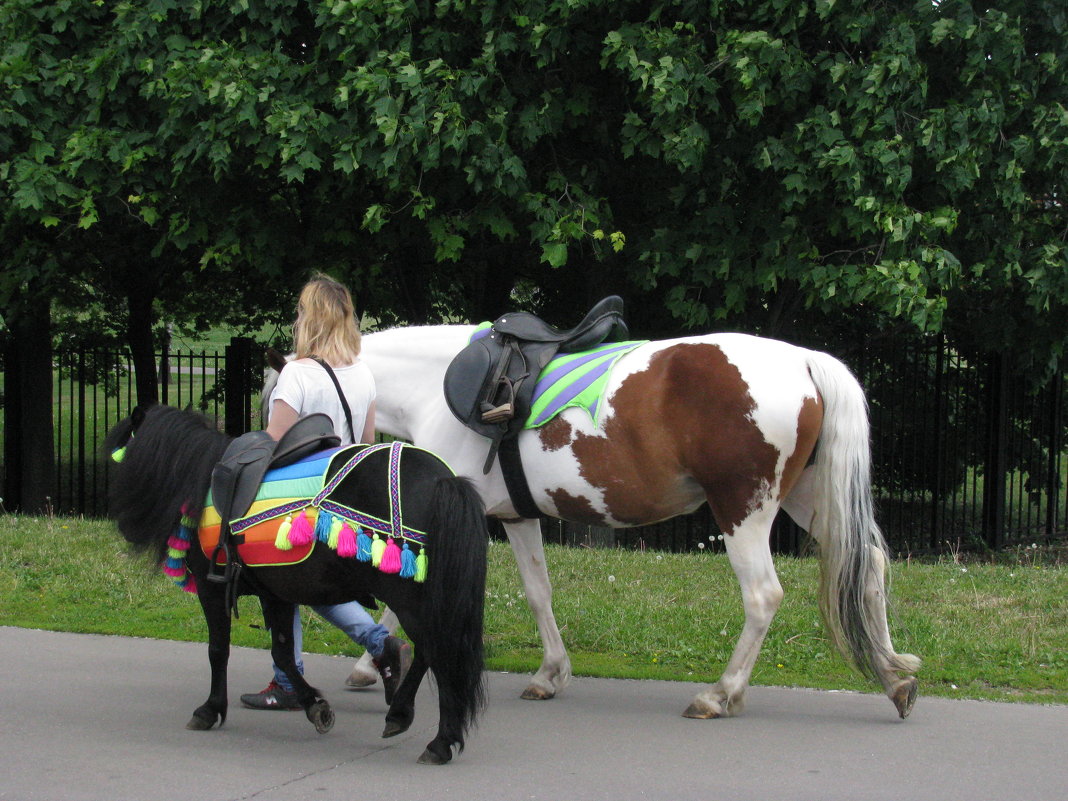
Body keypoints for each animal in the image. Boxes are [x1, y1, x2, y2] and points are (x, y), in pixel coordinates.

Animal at [104, 407, 489, 764]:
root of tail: (440, 479)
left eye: (121, 455)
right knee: (427, 652)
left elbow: (218, 650)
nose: (121, 524)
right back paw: (401, 711)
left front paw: (210, 708)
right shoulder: (275, 594)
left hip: (411, 599)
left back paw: (438, 740)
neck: (204, 478)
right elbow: (283, 653)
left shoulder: (212, 589)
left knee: (436, 651)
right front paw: (314, 705)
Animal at [269, 326, 918, 721]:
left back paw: (721, 693)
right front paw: (550, 673)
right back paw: (894, 676)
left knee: (763, 596)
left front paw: (371, 660)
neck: (434, 387)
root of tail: (805, 360)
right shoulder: (516, 517)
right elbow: (539, 592)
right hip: (807, 499)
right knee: (870, 568)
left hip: (743, 510)